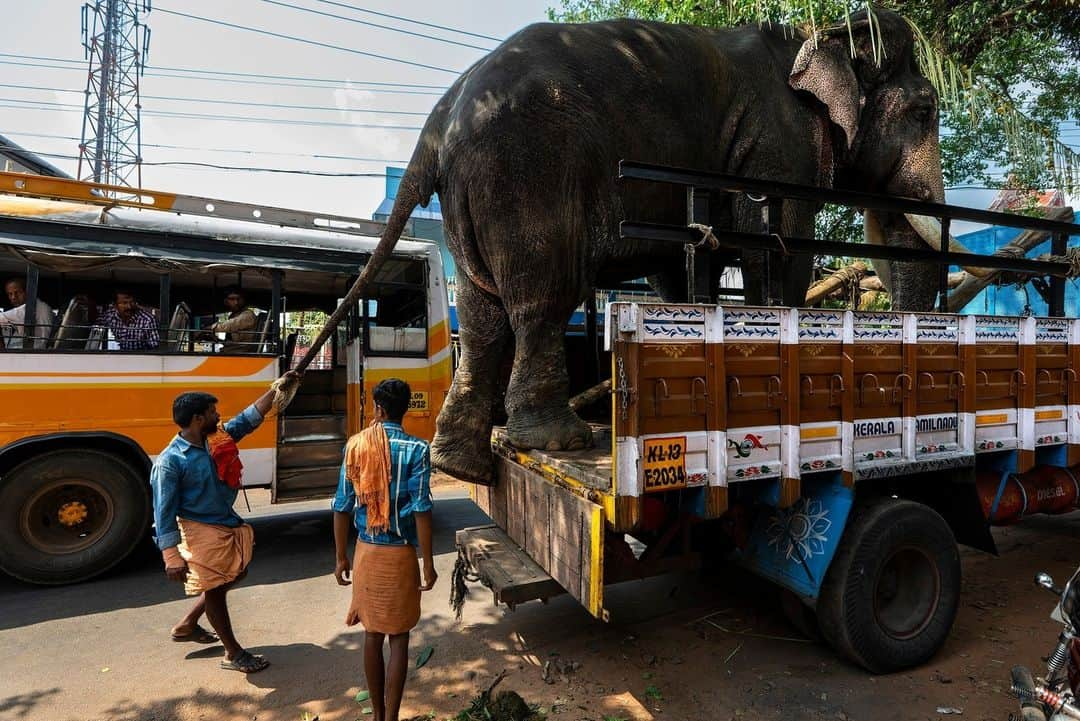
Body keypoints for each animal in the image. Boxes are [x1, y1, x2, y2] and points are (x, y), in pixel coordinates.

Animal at [369, 5, 954, 481]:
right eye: (925, 112)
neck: (821, 33)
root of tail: (440, 121)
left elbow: (681, 269)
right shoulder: (779, 146)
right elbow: (777, 244)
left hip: (471, 197)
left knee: (483, 317)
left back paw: (461, 466)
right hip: (526, 174)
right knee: (542, 302)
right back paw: (559, 440)